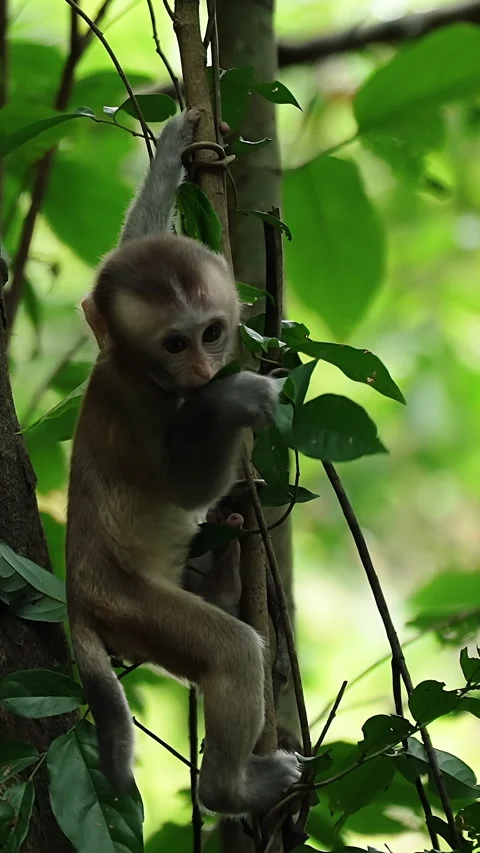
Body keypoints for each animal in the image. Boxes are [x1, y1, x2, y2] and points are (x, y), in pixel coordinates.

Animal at [66, 109, 301, 816]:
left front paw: (173, 150)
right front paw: (237, 397)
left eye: (211, 333)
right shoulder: (141, 405)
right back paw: (230, 790)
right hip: (136, 608)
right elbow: (185, 484)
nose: (201, 369)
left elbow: (129, 245)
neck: (135, 369)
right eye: (175, 344)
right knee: (232, 652)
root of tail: (78, 598)